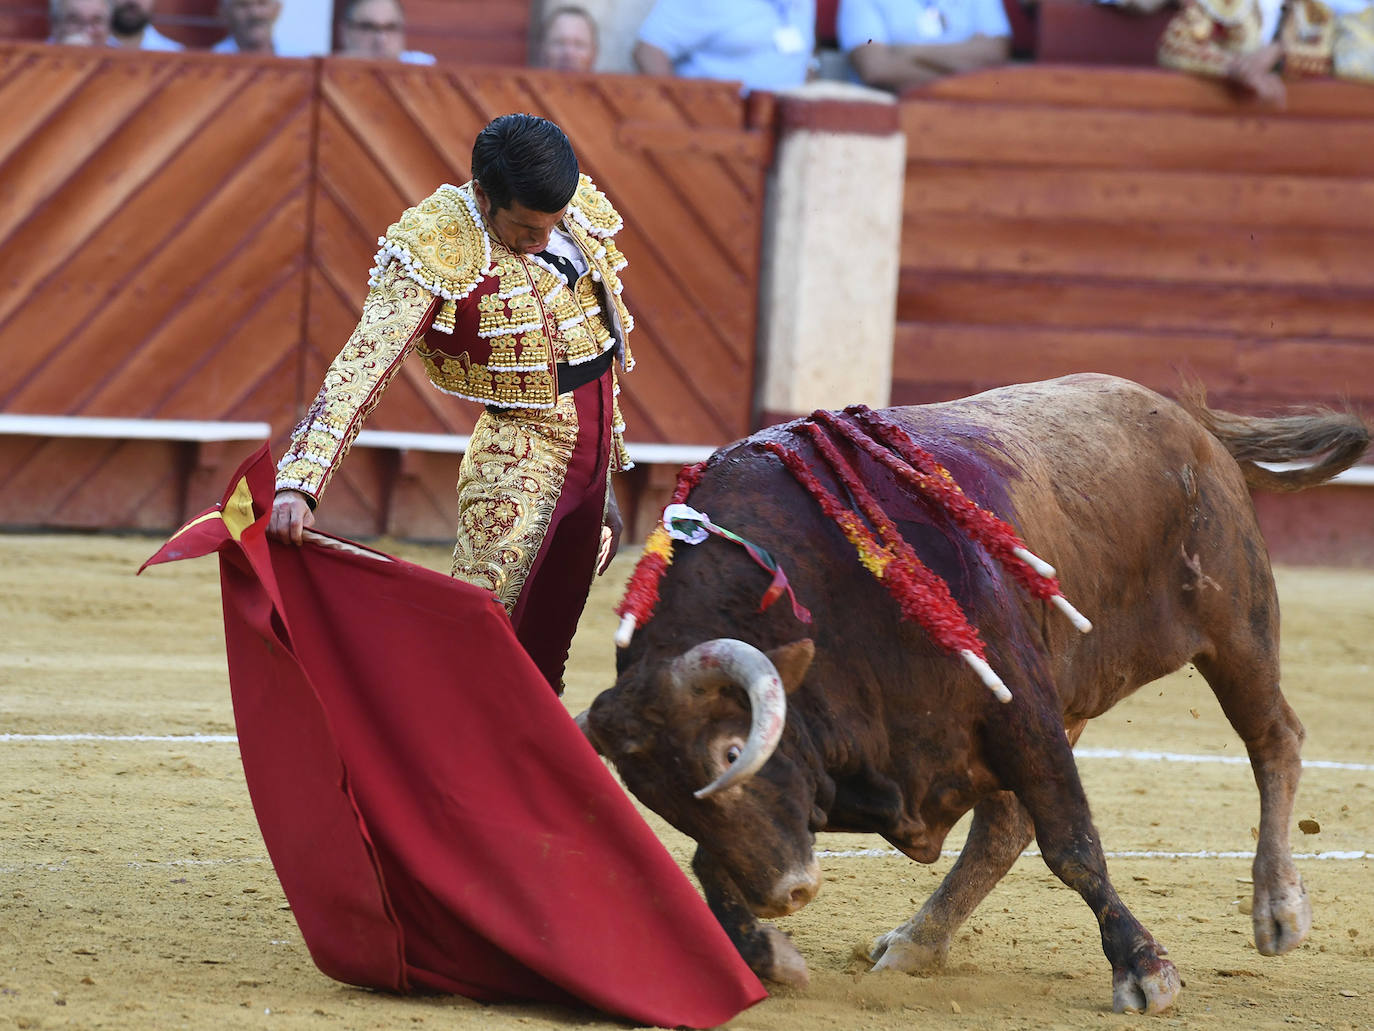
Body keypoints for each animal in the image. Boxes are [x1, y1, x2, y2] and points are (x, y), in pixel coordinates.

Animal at [585, 373, 1368, 1017]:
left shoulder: (1019, 706)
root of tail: (1187, 423)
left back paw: (1278, 910)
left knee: (1275, 739)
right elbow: (706, 861)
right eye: (657, 797)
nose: (788, 893)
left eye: (731, 750)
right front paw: (768, 954)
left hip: (1235, 626)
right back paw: (917, 941)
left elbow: (1072, 842)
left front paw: (1145, 970)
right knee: (1003, 828)